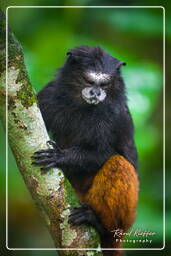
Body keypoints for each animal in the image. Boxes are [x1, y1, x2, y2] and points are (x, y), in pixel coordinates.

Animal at [32, 45, 139, 254]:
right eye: (89, 81)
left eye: (104, 85)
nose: (96, 93)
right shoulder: (48, 94)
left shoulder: (116, 115)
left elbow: (107, 153)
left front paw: (61, 156)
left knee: (119, 163)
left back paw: (99, 223)